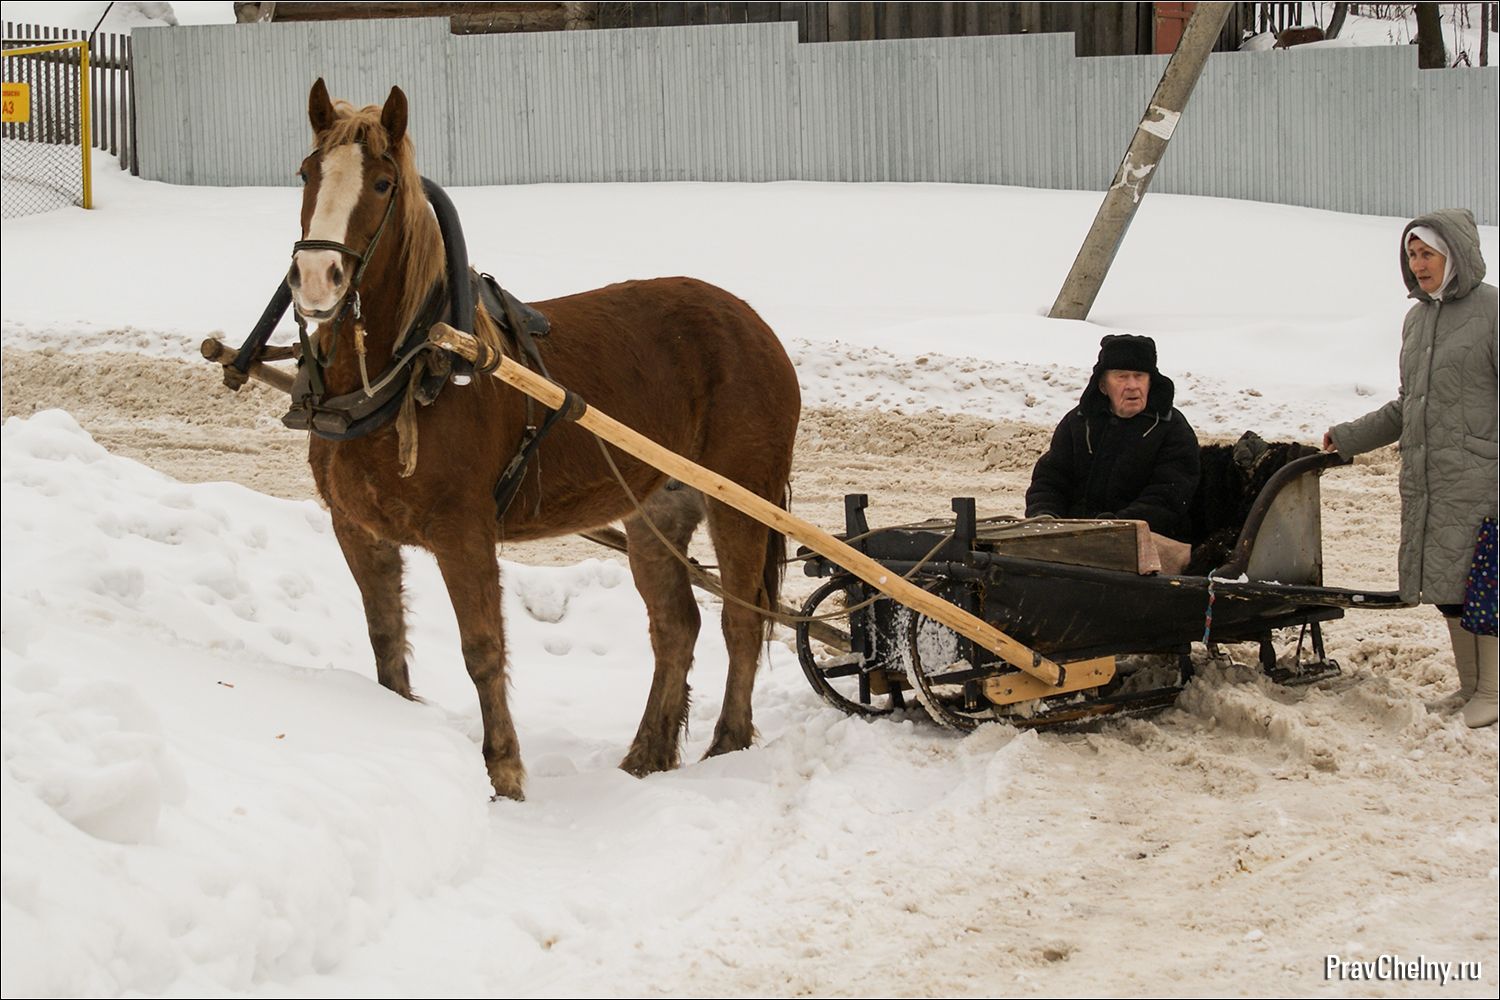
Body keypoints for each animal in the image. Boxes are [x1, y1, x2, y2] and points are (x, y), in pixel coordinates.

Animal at [286, 79, 800, 800]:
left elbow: (482, 649)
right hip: (656, 509)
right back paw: (645, 757)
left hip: (739, 500)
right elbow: (386, 642)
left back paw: (727, 748)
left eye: (383, 183)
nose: (316, 279)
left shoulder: (463, 531)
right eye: (307, 173)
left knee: (742, 621)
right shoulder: (358, 531)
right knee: (677, 629)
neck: (410, 370)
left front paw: (504, 775)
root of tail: (754, 324)